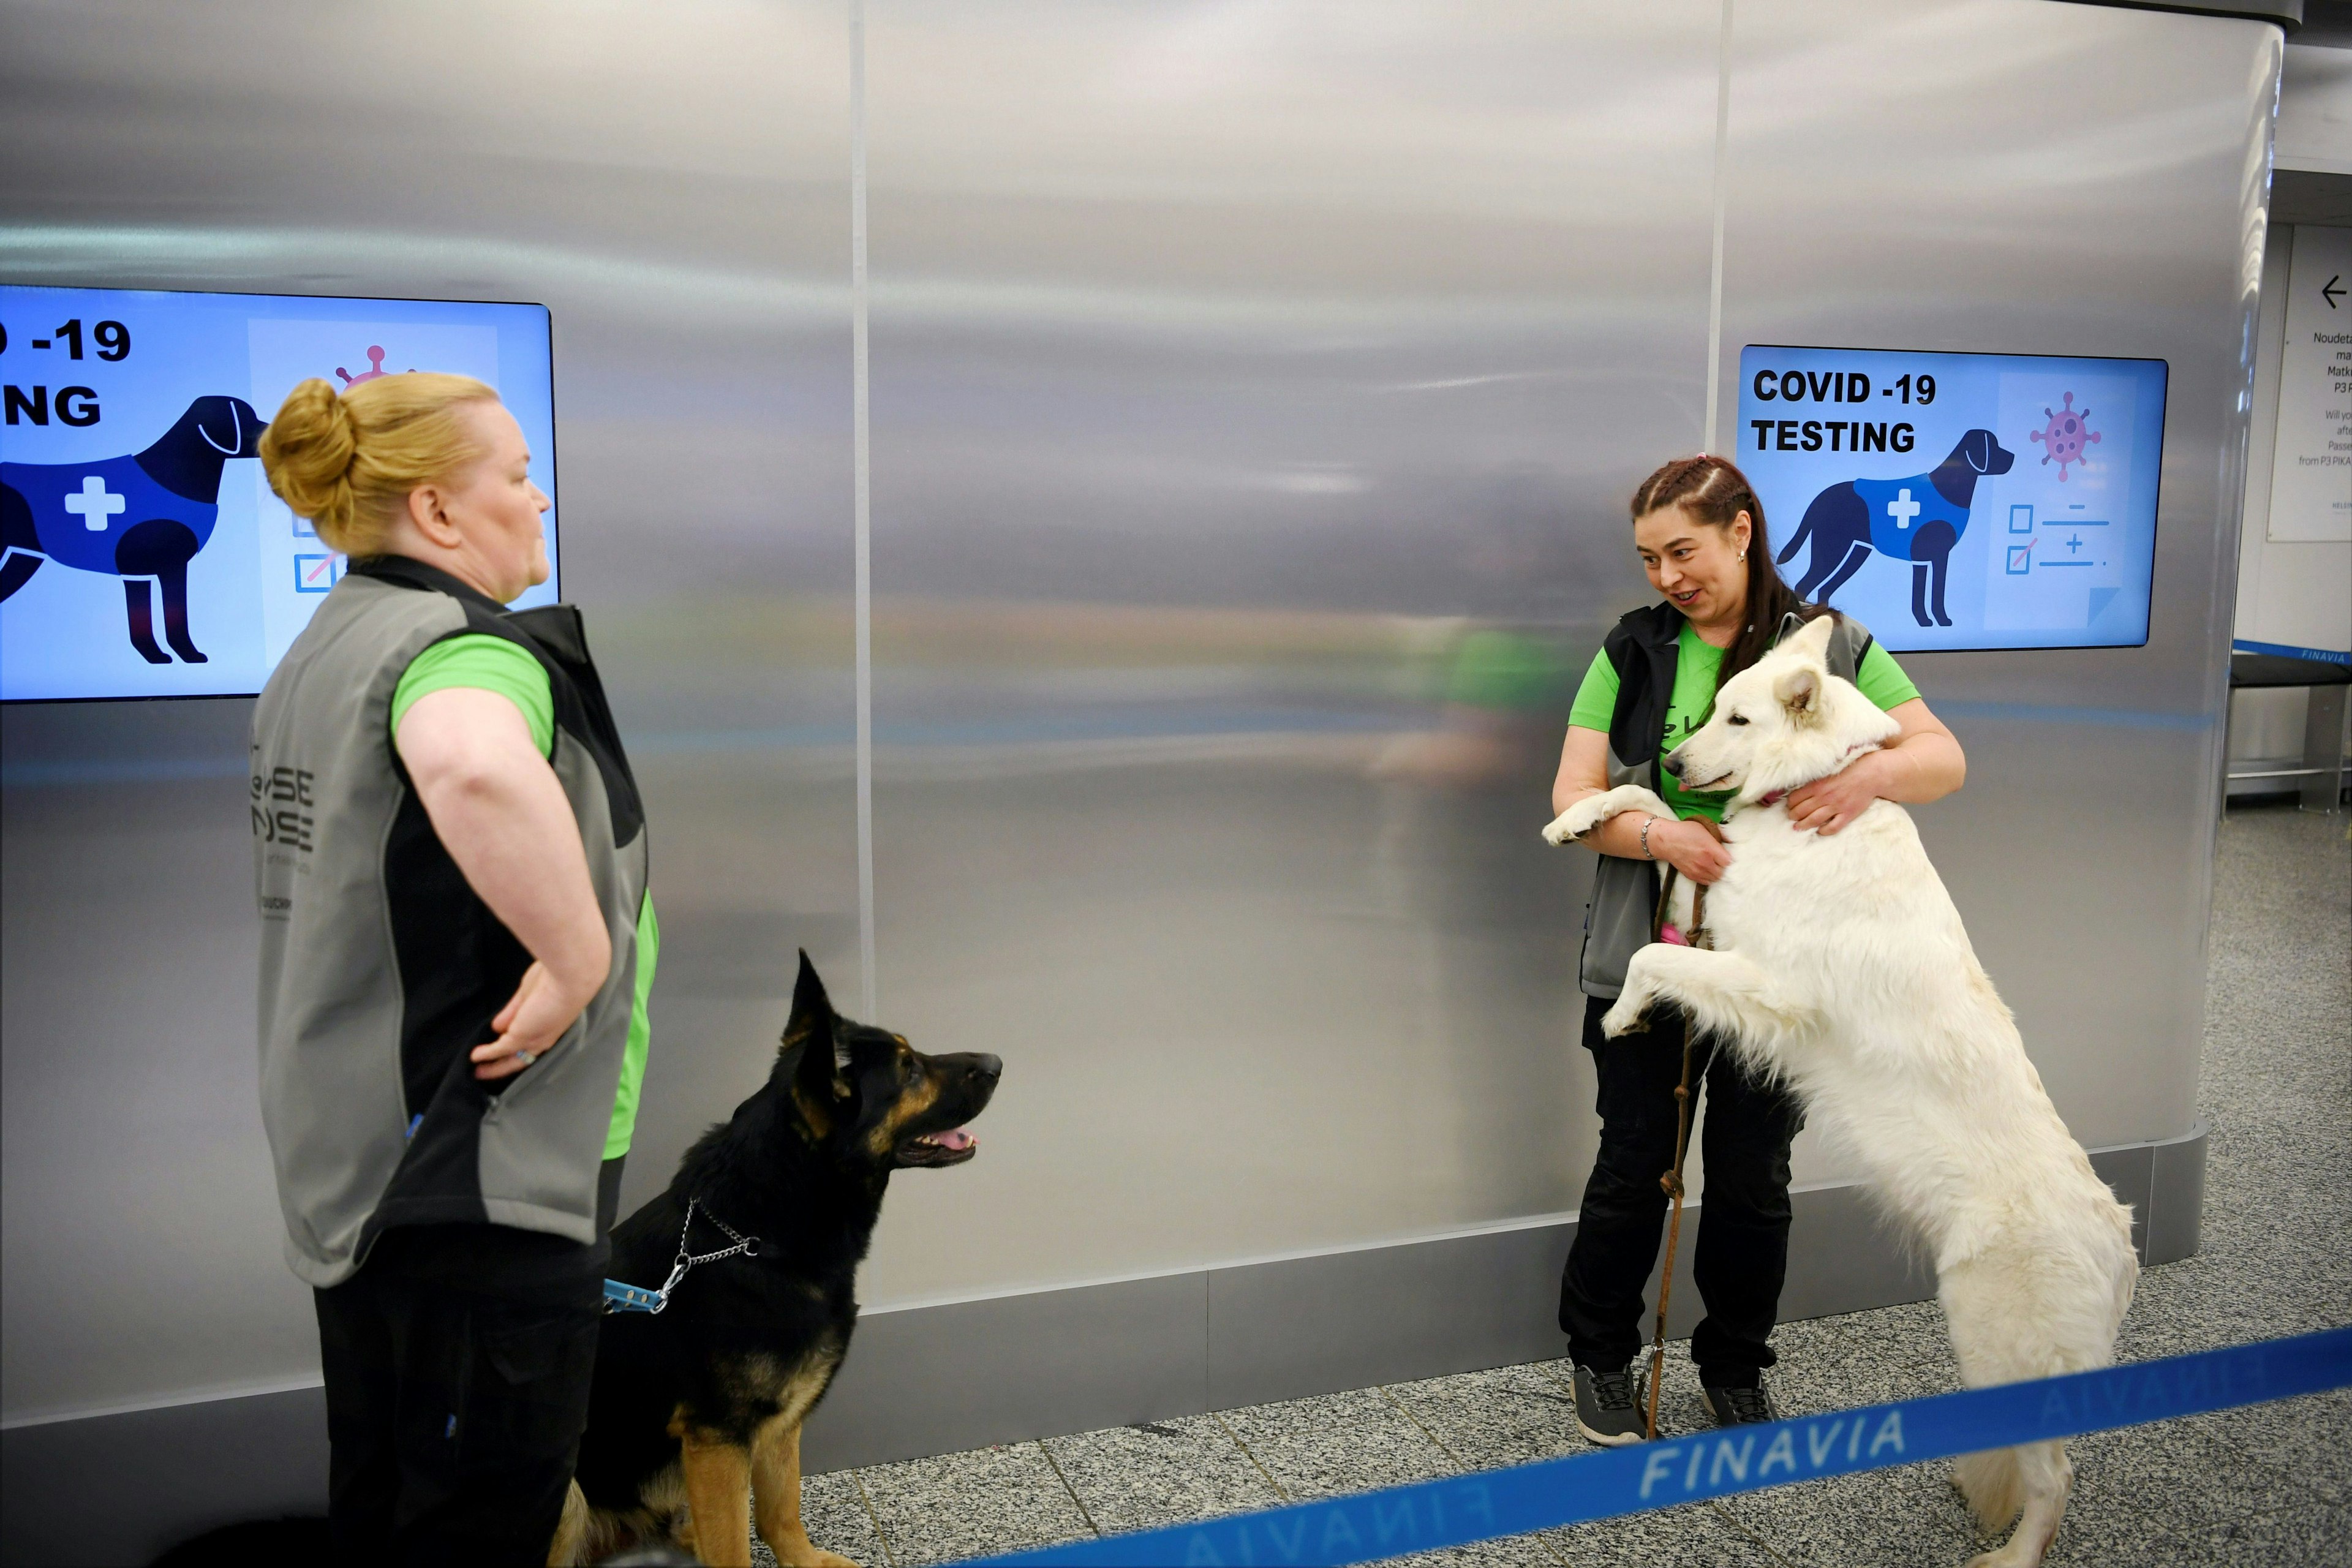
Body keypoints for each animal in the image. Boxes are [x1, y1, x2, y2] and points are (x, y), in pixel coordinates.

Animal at [555, 949, 1006, 1561]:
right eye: (909, 1070)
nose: (998, 1060)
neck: (754, 1240)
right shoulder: (717, 1440)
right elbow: (733, 1548)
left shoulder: (780, 1423)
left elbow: (780, 1510)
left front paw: (806, 1560)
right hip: (569, 1494)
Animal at [1543, 616, 2135, 1568]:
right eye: (1712, 708)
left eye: (1739, 719)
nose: (1674, 759)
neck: (1805, 791)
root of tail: (2122, 1244)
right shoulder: (1717, 879)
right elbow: (1656, 819)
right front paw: (1576, 817)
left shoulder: (1766, 980)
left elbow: (1651, 954)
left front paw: (1628, 1013)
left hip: (1988, 1338)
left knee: (2058, 1475)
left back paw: (2012, 1554)